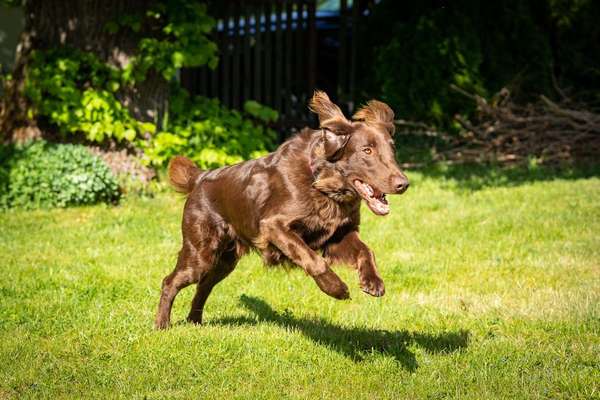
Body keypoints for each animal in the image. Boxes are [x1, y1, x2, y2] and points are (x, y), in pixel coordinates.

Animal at [155, 90, 408, 328]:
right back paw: (162, 325)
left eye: (393, 151)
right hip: (200, 253)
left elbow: (366, 250)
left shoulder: (338, 235)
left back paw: (194, 321)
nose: (403, 184)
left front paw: (373, 282)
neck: (321, 183)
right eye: (367, 151)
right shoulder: (273, 226)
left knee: (204, 285)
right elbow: (313, 260)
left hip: (225, 260)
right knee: (171, 281)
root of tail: (200, 178)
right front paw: (336, 289)